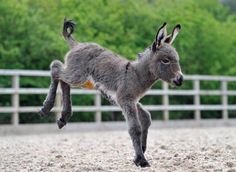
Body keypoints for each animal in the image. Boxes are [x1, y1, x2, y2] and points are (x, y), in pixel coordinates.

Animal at [39, 19, 183, 167]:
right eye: (165, 60)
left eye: (177, 60)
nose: (180, 79)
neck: (136, 74)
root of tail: (78, 44)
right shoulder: (125, 99)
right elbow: (135, 128)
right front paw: (141, 159)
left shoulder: (131, 100)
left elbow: (146, 118)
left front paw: (140, 152)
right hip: (78, 75)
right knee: (56, 67)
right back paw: (46, 108)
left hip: (79, 78)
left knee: (63, 80)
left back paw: (64, 117)